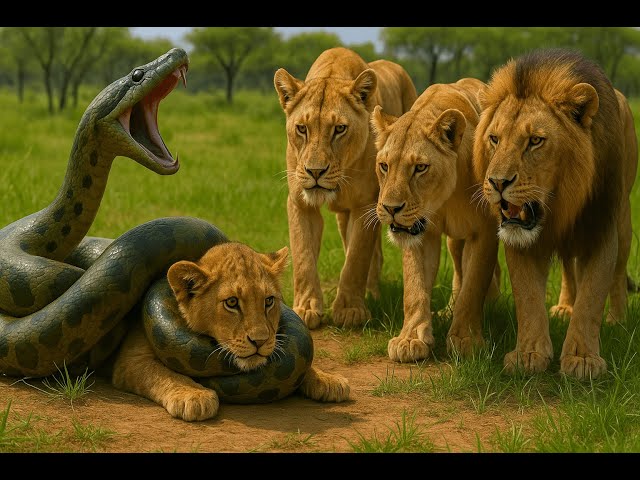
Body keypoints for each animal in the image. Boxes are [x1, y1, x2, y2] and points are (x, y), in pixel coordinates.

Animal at [111, 242, 350, 421]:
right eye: (232, 302)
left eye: (269, 301)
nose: (260, 341)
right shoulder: (131, 360)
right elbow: (163, 374)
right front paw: (194, 396)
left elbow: (306, 365)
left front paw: (329, 380)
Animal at [273, 47, 417, 329]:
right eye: (302, 128)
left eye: (339, 129)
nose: (315, 172)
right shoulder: (299, 202)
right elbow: (303, 256)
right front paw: (306, 308)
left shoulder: (364, 204)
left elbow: (356, 259)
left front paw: (350, 310)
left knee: (373, 256)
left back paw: (372, 294)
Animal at [370, 78, 501, 363]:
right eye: (384, 166)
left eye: (420, 168)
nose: (391, 208)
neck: (444, 199)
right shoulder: (419, 233)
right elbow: (415, 288)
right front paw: (410, 339)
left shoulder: (484, 231)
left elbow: (473, 286)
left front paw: (466, 340)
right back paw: (446, 313)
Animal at [473, 48, 639, 379]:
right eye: (494, 139)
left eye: (535, 140)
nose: (497, 182)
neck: (561, 205)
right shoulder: (519, 239)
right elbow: (527, 297)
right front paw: (528, 354)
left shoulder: (600, 227)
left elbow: (592, 297)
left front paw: (583, 358)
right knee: (567, 267)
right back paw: (564, 308)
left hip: (625, 219)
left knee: (616, 275)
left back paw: (617, 319)